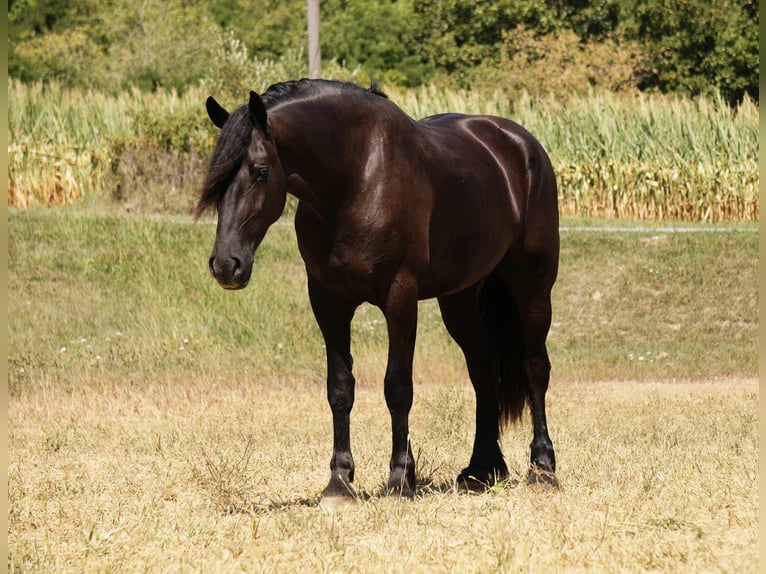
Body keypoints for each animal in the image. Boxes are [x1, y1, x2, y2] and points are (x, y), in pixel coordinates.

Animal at [196, 79, 560, 500]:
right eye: (217, 178)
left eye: (259, 170)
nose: (226, 265)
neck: (357, 179)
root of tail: (522, 144)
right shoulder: (328, 302)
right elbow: (340, 389)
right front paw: (339, 482)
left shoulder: (399, 297)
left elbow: (397, 387)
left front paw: (400, 478)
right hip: (460, 299)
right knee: (483, 372)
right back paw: (482, 469)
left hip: (533, 286)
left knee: (535, 368)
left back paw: (543, 468)